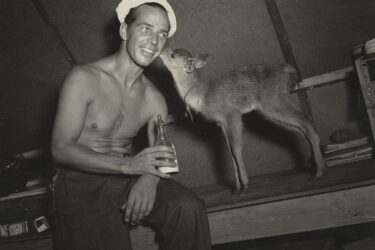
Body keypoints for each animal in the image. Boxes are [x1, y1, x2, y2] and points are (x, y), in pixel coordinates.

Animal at [159, 47, 326, 194]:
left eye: (173, 55)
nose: (162, 50)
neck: (203, 95)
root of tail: (286, 69)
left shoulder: (233, 114)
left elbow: (236, 148)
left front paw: (245, 186)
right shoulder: (221, 123)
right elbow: (230, 152)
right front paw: (236, 189)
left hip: (272, 101)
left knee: (305, 122)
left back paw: (318, 172)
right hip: (272, 107)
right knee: (302, 127)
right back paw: (318, 165)